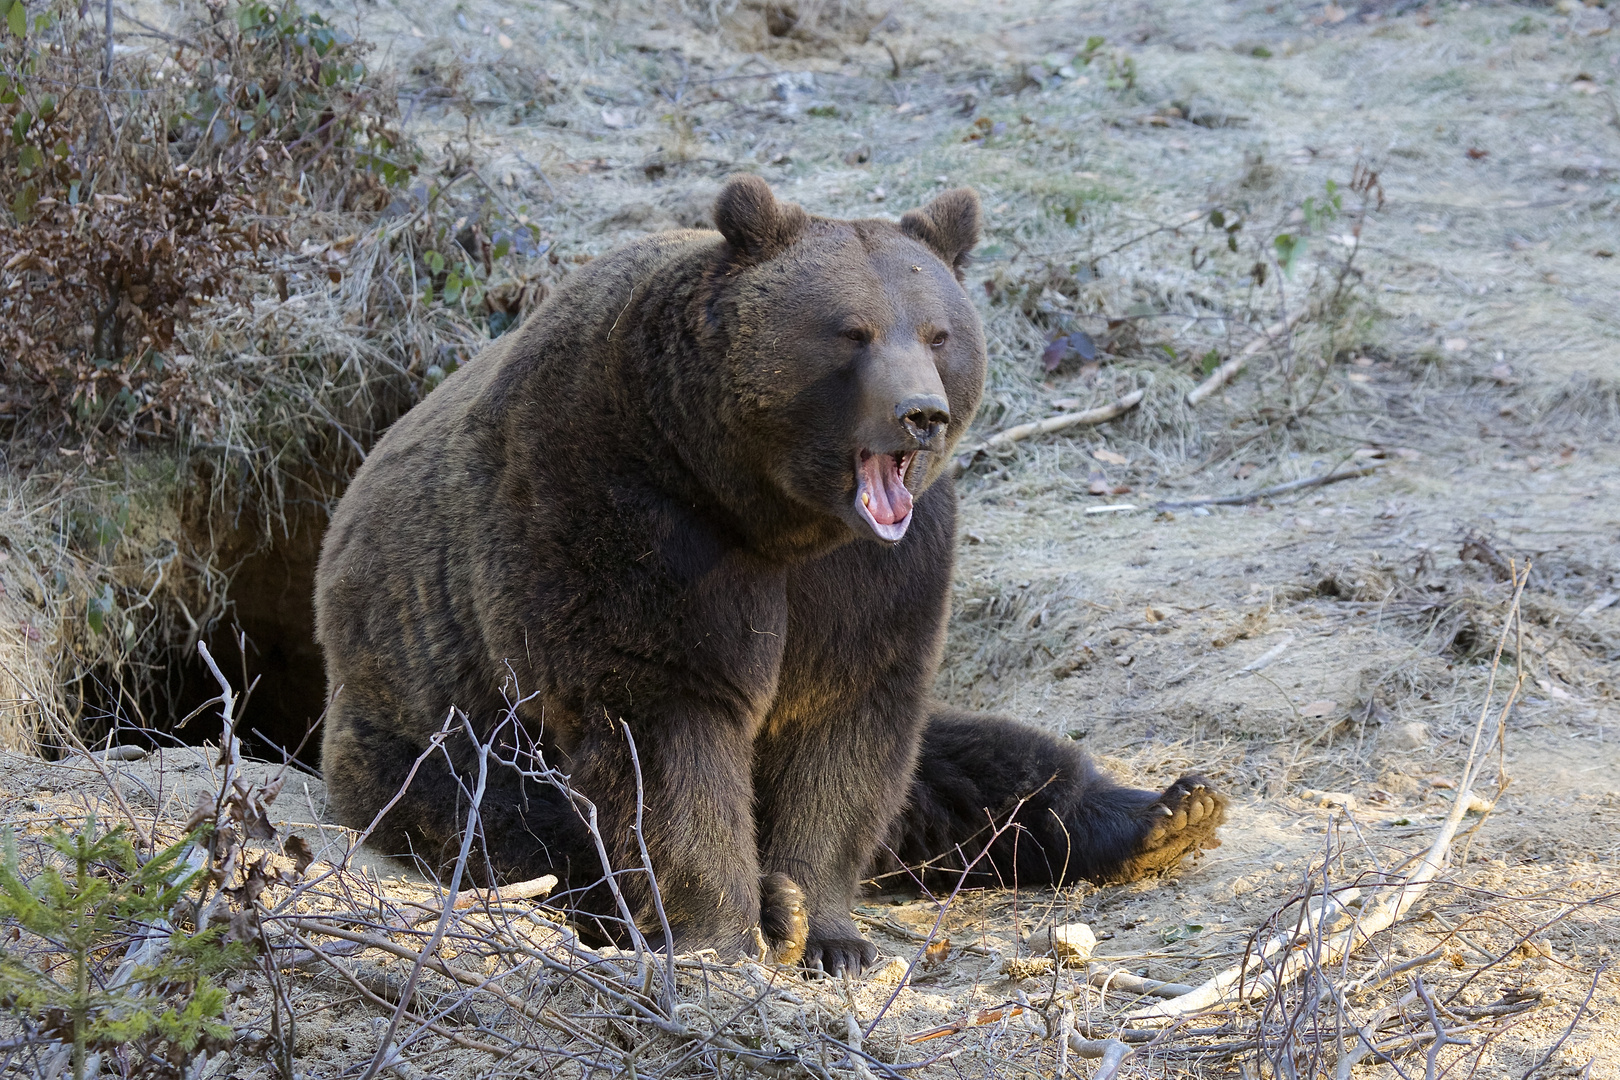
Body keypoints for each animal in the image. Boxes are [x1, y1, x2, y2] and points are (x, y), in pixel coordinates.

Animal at [319, 175, 1224, 971]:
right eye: (853, 331)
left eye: (939, 333)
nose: (921, 414)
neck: (775, 509)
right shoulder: (622, 510)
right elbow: (663, 733)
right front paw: (739, 925)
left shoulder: (880, 572)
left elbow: (851, 734)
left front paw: (823, 927)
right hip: (427, 732)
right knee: (523, 824)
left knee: (975, 766)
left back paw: (1170, 811)